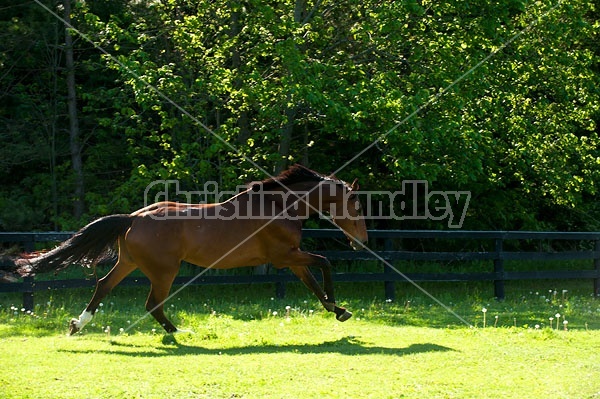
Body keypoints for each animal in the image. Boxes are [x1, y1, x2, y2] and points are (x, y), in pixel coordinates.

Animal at [16, 164, 368, 336]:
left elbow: (312, 283)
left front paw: (337, 309)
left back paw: (78, 325)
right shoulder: (285, 256)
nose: (362, 241)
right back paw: (179, 330)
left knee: (104, 286)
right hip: (164, 271)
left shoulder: (292, 259)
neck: (279, 206)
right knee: (152, 304)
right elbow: (325, 263)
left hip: (129, 263)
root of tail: (133, 217)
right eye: (357, 204)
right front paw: (338, 306)